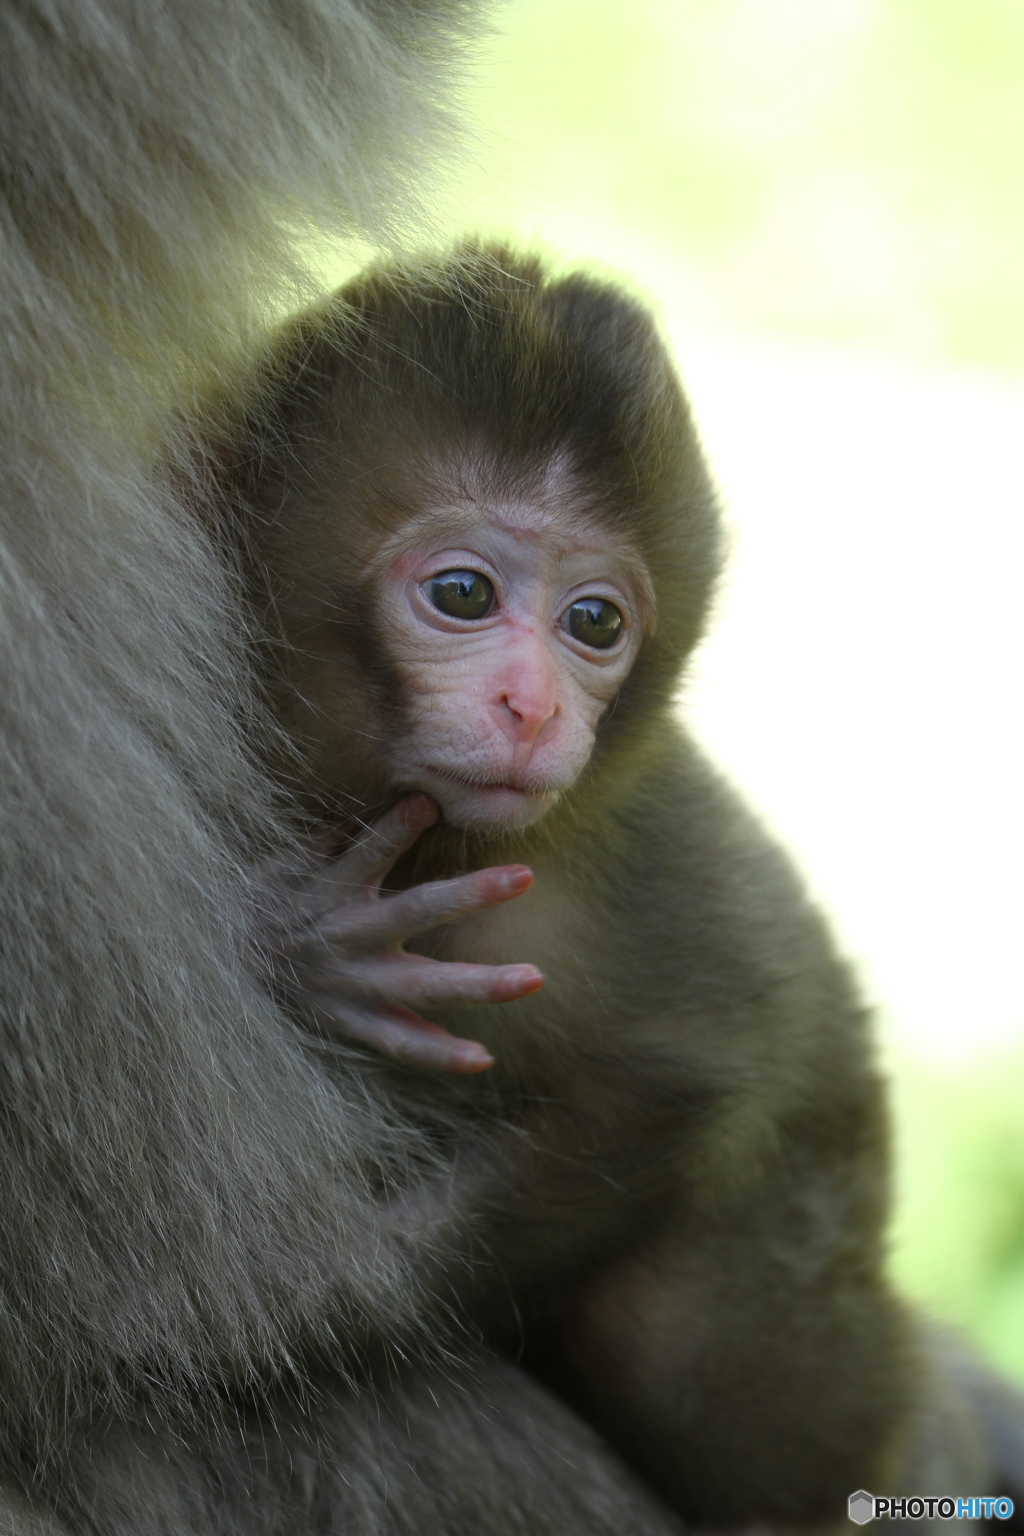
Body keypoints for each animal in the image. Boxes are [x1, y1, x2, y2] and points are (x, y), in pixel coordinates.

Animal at [211, 248, 1013, 1523]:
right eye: (462, 595)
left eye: (594, 621)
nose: (533, 708)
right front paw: (308, 950)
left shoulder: (590, 888)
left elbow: (667, 1089)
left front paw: (294, 1304)